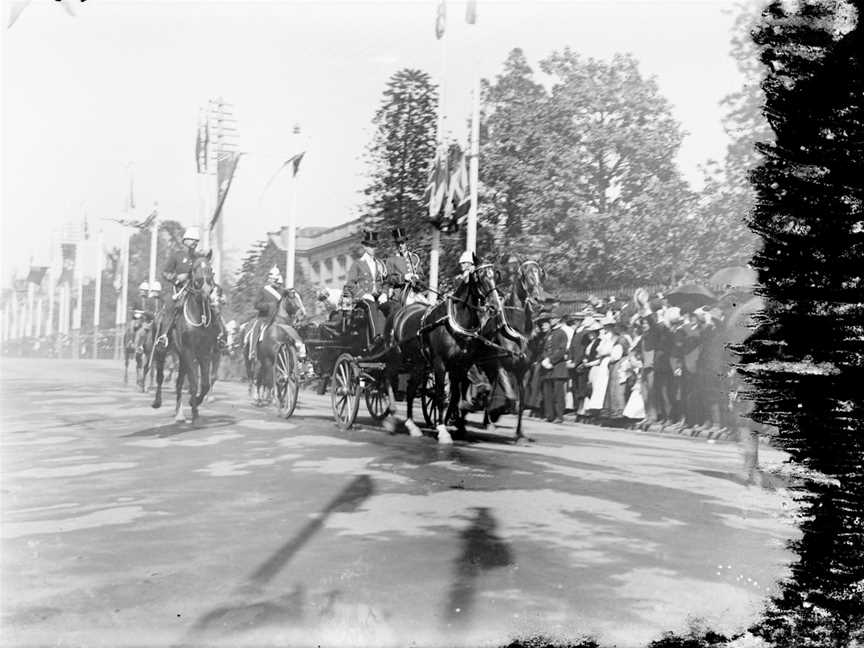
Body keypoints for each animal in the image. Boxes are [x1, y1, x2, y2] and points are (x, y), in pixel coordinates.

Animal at [151, 253, 221, 426]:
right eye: (194, 268)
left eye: (210, 268)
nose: (206, 289)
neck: (199, 315)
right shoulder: (189, 351)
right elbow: (194, 383)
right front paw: (195, 414)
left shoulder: (204, 353)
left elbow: (204, 383)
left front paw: (194, 403)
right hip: (162, 352)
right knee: (160, 377)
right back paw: (157, 402)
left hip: (182, 357)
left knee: (178, 383)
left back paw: (179, 414)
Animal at [384, 260, 500, 442]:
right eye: (479, 278)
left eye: (495, 276)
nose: (495, 306)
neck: (454, 321)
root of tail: (399, 312)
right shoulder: (440, 364)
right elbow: (440, 395)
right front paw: (443, 430)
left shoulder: (461, 366)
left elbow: (454, 397)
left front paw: (451, 422)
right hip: (396, 357)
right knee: (388, 378)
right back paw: (391, 415)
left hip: (418, 364)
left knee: (410, 389)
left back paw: (411, 424)